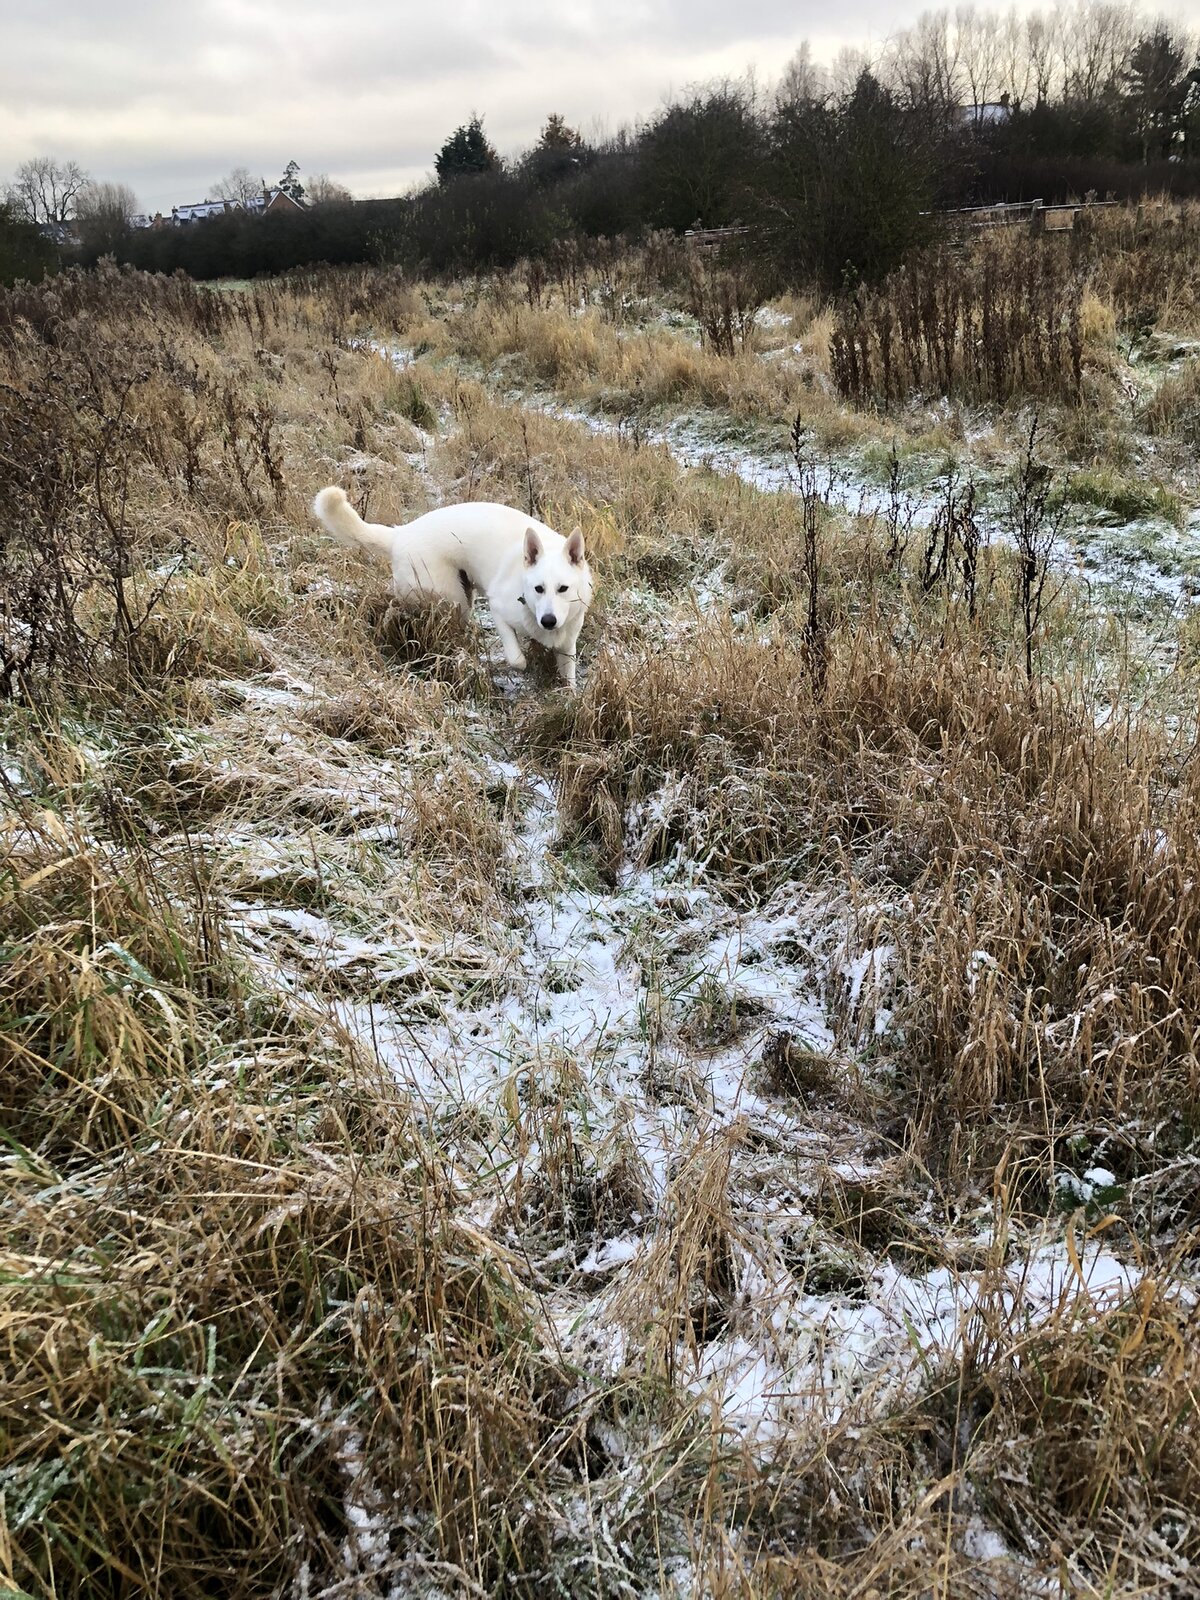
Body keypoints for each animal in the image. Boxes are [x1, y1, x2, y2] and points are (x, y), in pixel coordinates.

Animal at [312, 488, 592, 688]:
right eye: (538, 588)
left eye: (563, 588)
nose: (548, 621)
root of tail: (400, 534)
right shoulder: (498, 609)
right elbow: (517, 660)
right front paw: (517, 664)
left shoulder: (567, 644)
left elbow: (569, 681)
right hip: (453, 599)